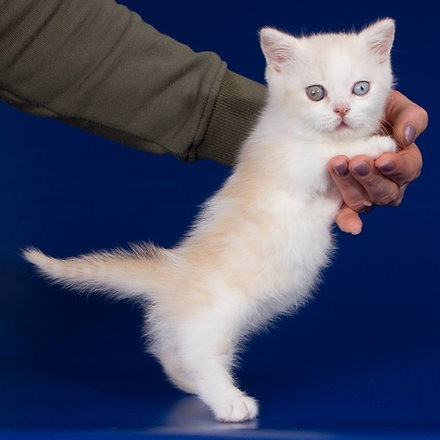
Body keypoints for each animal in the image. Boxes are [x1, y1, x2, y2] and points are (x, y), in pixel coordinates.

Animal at [22, 18, 398, 422]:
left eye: (361, 88)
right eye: (316, 93)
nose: (342, 110)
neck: (288, 126)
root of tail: (173, 272)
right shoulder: (290, 163)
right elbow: (326, 152)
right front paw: (376, 145)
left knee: (167, 348)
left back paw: (185, 381)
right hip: (215, 320)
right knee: (200, 358)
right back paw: (229, 401)